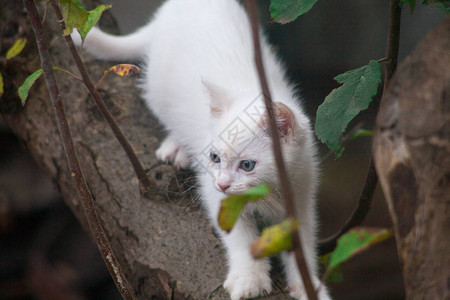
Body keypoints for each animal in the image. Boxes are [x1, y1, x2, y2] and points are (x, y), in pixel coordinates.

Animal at [74, 1, 330, 298]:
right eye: (214, 158)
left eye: (247, 165)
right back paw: (177, 146)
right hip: (159, 85)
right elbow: (239, 236)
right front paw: (249, 278)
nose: (223, 184)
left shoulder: (302, 190)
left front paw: (308, 287)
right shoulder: (217, 195)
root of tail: (167, 12)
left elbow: (303, 246)